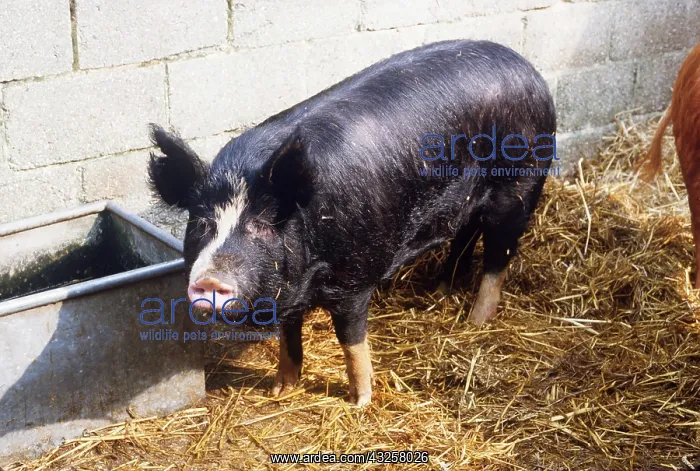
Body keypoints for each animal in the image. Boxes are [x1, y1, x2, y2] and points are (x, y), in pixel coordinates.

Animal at [148, 40, 557, 406]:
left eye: (262, 224)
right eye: (203, 223)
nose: (209, 280)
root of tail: (530, 71)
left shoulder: (356, 279)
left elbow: (350, 339)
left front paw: (359, 401)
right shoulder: (292, 293)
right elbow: (289, 335)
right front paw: (280, 390)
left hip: (521, 185)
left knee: (498, 257)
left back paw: (475, 322)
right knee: (465, 236)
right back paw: (440, 292)